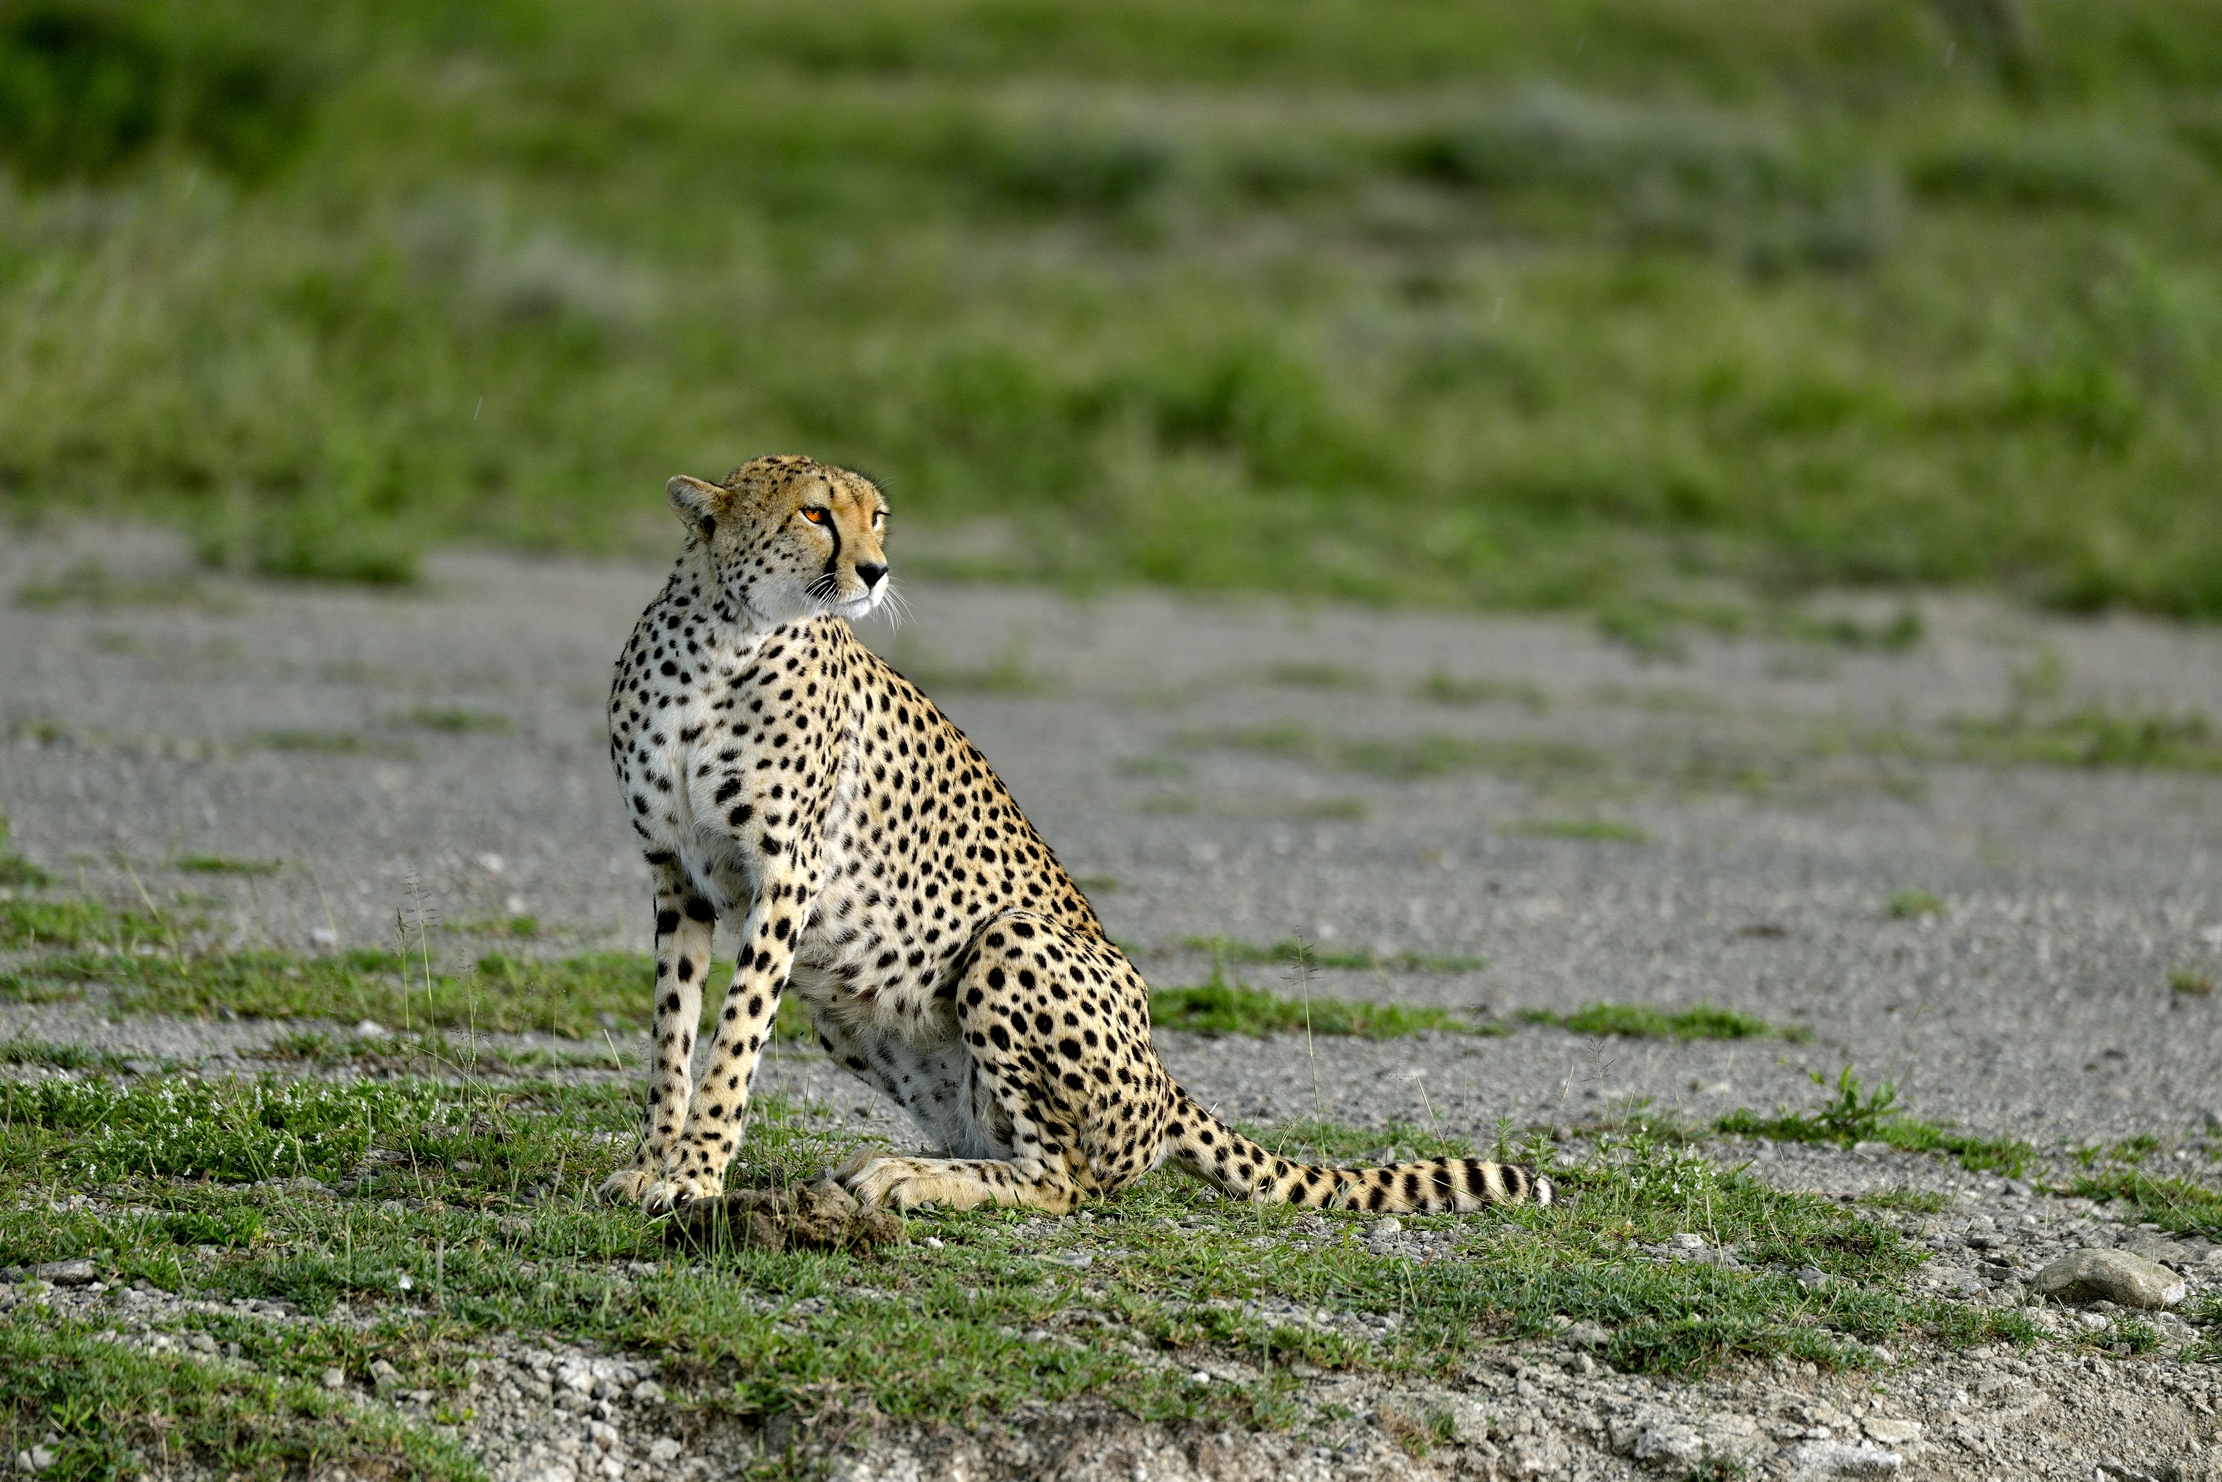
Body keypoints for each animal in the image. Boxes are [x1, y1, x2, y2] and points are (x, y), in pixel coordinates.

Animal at [599, 453, 1553, 1219]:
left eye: (878, 517)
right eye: (814, 513)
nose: (875, 570)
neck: (725, 640)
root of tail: (1165, 1079)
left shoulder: (787, 875)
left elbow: (734, 1041)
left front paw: (695, 1176)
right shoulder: (676, 873)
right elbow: (674, 1034)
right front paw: (652, 1165)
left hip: (1010, 941)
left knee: (1066, 1180)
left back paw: (908, 1177)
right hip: (853, 1015)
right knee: (1000, 1143)